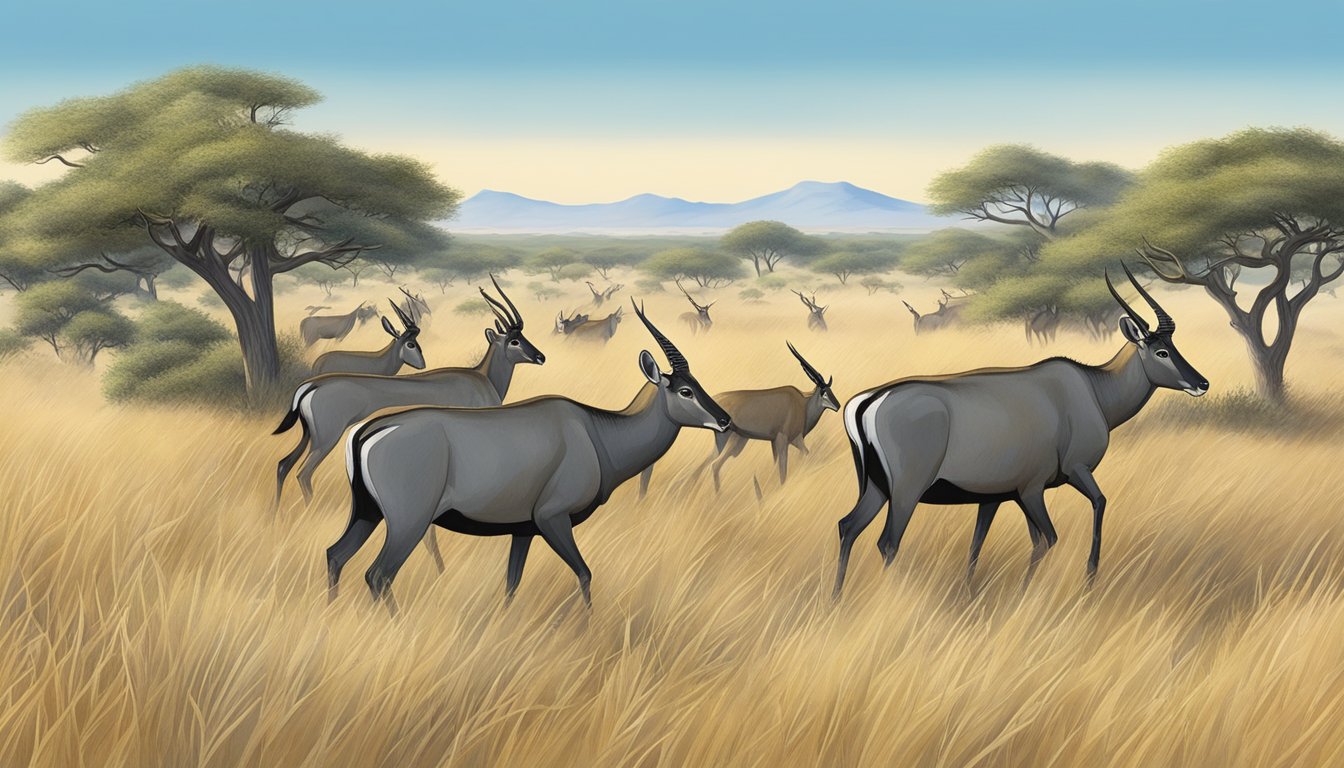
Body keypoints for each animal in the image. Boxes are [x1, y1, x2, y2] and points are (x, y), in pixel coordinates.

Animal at [272, 273, 545, 508]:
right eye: (514, 340)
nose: (541, 357)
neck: (481, 377)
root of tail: (311, 385)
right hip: (326, 439)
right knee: (303, 472)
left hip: (310, 437)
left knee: (284, 465)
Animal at [333, 299, 736, 613]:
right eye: (685, 390)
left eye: (697, 384)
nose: (725, 420)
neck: (595, 431)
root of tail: (368, 430)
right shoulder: (552, 519)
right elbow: (585, 573)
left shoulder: (522, 531)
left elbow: (512, 584)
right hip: (409, 524)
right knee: (378, 574)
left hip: (366, 514)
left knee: (336, 555)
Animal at [634, 342, 833, 497]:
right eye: (824, 391)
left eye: (829, 390)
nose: (837, 405)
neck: (803, 403)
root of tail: (718, 399)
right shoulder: (786, 440)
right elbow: (788, 465)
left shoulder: (778, 442)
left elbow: (786, 462)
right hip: (732, 443)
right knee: (714, 465)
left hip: (729, 443)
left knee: (705, 465)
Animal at [833, 267, 1214, 597]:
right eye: (1161, 351)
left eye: (1173, 347)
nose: (1202, 383)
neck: (1090, 388)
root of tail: (868, 401)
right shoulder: (1048, 483)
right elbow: (1070, 523)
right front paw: (1080, 581)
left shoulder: (999, 497)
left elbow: (980, 544)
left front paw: (972, 590)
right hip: (906, 493)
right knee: (888, 542)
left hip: (876, 489)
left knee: (848, 526)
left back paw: (836, 600)